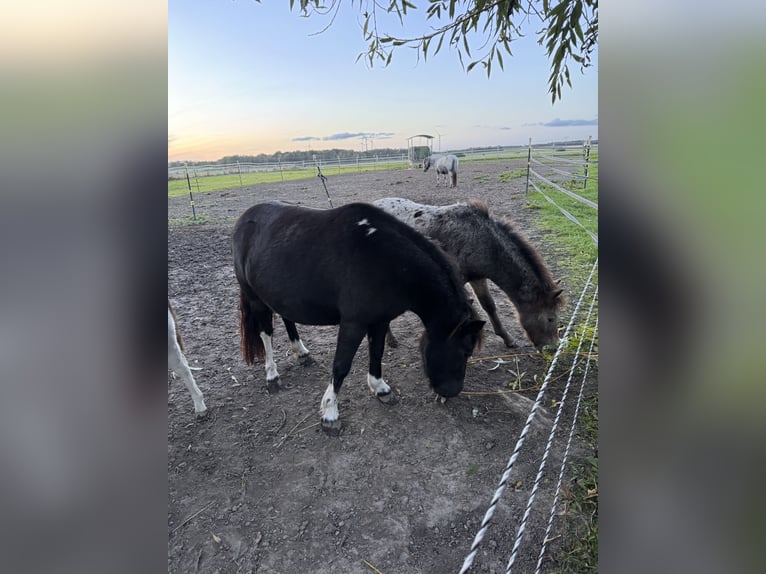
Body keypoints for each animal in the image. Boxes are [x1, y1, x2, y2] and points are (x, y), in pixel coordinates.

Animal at [230, 201, 486, 432]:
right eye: (466, 351)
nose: (452, 392)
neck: (388, 261)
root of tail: (244, 219)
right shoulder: (354, 323)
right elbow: (341, 365)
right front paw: (330, 413)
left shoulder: (380, 321)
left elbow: (377, 353)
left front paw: (380, 388)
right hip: (254, 296)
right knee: (265, 333)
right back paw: (272, 375)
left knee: (287, 318)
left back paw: (301, 353)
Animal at [376, 198, 568, 352]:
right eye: (550, 319)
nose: (552, 348)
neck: (478, 238)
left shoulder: (477, 278)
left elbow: (488, 305)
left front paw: (507, 339)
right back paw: (390, 339)